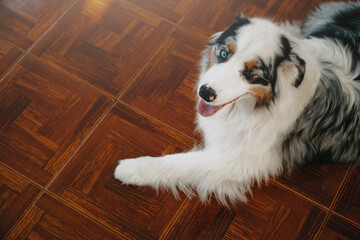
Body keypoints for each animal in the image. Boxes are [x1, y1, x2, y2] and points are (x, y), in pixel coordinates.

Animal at [114, 0, 360, 205]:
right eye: (223, 53)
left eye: (251, 74)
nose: (205, 92)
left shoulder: (239, 160)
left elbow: (182, 162)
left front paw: (132, 168)